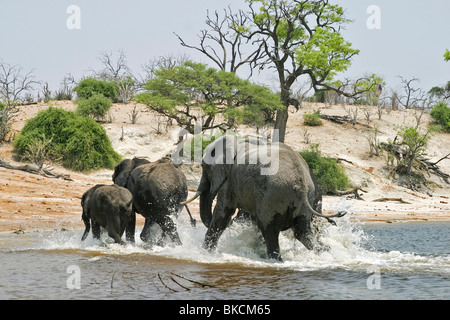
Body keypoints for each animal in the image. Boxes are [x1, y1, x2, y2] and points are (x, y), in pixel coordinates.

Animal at [183, 134, 344, 262]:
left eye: (204, 168)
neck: (235, 141)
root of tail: (301, 186)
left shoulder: (230, 181)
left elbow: (223, 213)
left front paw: (205, 253)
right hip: (305, 198)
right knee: (302, 230)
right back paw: (325, 252)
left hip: (272, 196)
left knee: (268, 229)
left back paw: (275, 260)